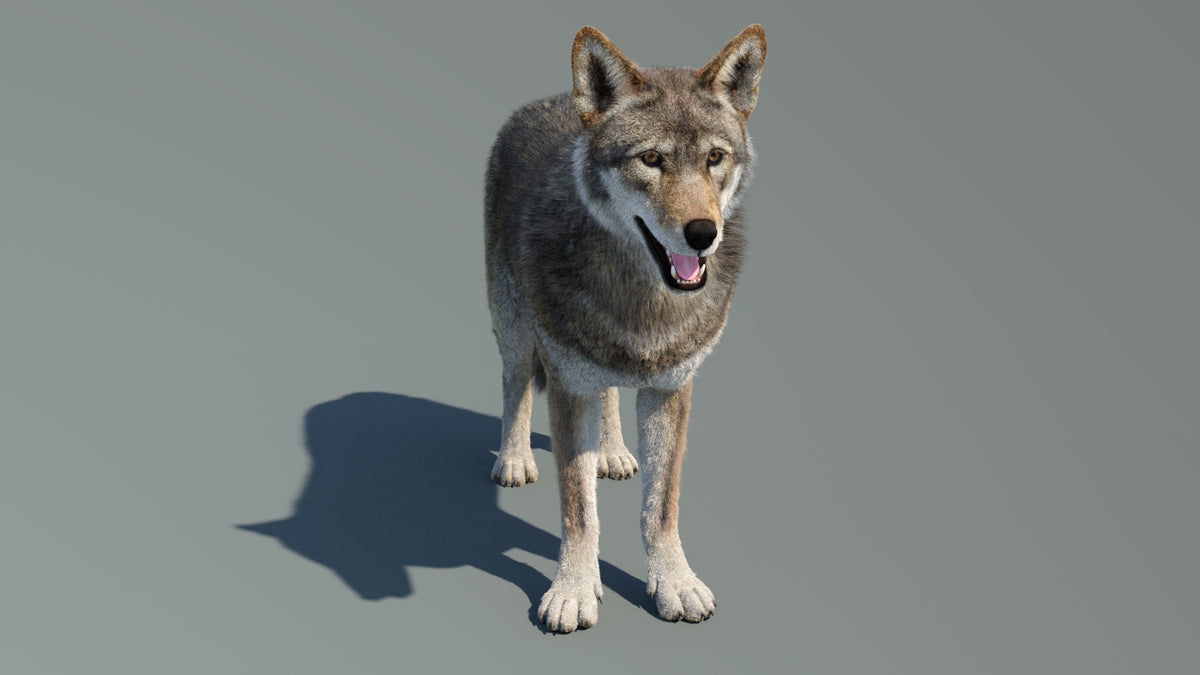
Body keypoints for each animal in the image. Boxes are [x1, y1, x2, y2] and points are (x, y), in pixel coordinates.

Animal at [484, 24, 766, 633]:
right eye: (651, 159)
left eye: (714, 158)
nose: (703, 234)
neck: (642, 304)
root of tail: (545, 100)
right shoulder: (567, 385)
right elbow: (578, 509)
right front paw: (572, 592)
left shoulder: (671, 387)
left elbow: (661, 507)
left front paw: (675, 584)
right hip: (513, 325)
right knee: (515, 383)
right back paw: (514, 460)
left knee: (611, 390)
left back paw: (611, 454)